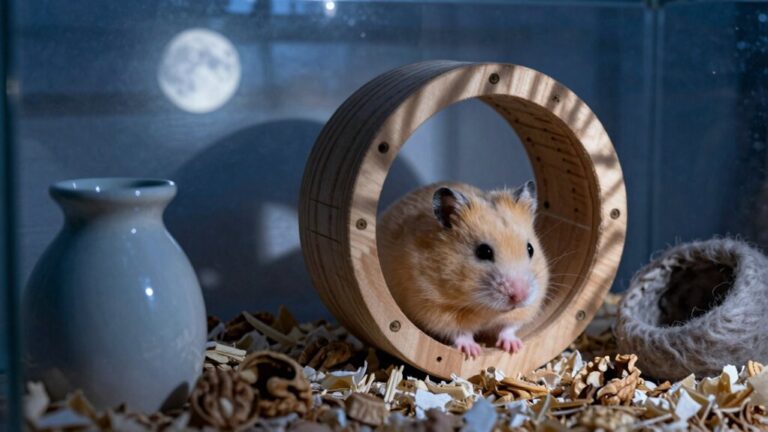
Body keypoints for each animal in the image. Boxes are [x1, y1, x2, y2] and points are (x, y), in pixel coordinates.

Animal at [377, 181, 549, 358]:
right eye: (484, 252)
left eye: (530, 249)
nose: (520, 296)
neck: (486, 310)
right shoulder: (434, 308)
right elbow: (460, 332)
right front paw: (473, 352)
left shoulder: (526, 308)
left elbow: (508, 328)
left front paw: (514, 347)